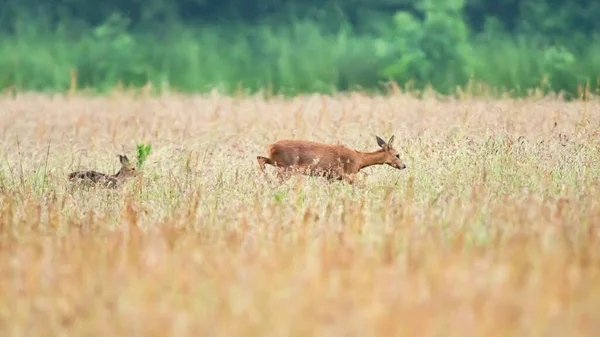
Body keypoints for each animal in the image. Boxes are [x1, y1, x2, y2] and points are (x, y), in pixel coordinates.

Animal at [255, 134, 406, 182]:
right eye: (397, 154)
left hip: (278, 163)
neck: (360, 159)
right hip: (286, 167)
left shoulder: (331, 177)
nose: (404, 166)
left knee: (260, 157)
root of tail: (271, 146)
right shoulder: (348, 174)